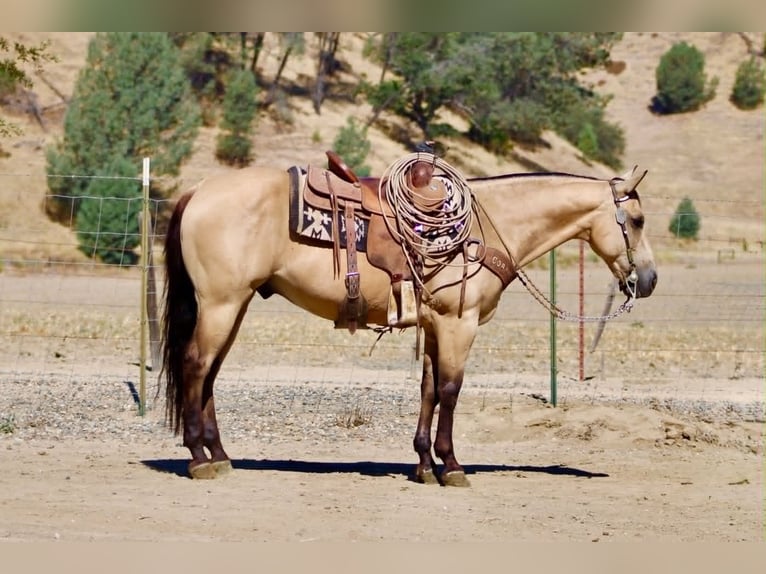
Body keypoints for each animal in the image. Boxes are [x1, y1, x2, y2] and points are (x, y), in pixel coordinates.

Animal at [160, 160, 657, 485]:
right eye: (636, 220)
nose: (649, 280)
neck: (486, 225)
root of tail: (198, 191)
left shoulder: (436, 324)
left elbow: (429, 389)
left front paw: (423, 466)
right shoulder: (460, 323)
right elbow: (451, 390)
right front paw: (451, 466)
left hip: (234, 305)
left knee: (209, 375)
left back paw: (221, 455)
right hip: (221, 304)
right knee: (195, 366)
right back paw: (199, 459)